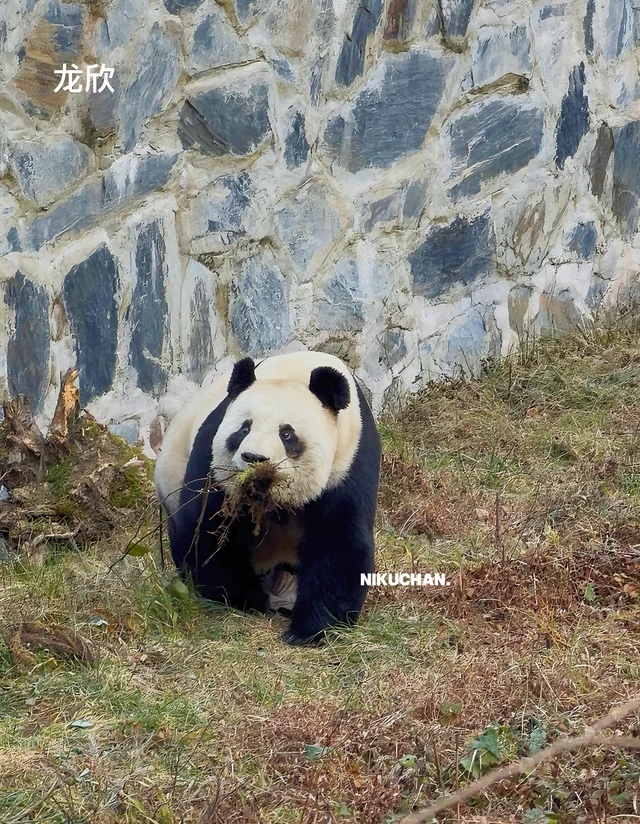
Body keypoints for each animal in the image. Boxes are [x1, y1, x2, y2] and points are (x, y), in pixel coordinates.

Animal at [154, 350, 381, 646]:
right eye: (244, 429)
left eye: (287, 434)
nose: (254, 458)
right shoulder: (213, 458)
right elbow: (208, 530)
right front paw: (244, 598)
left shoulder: (348, 462)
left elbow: (339, 542)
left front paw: (309, 630)